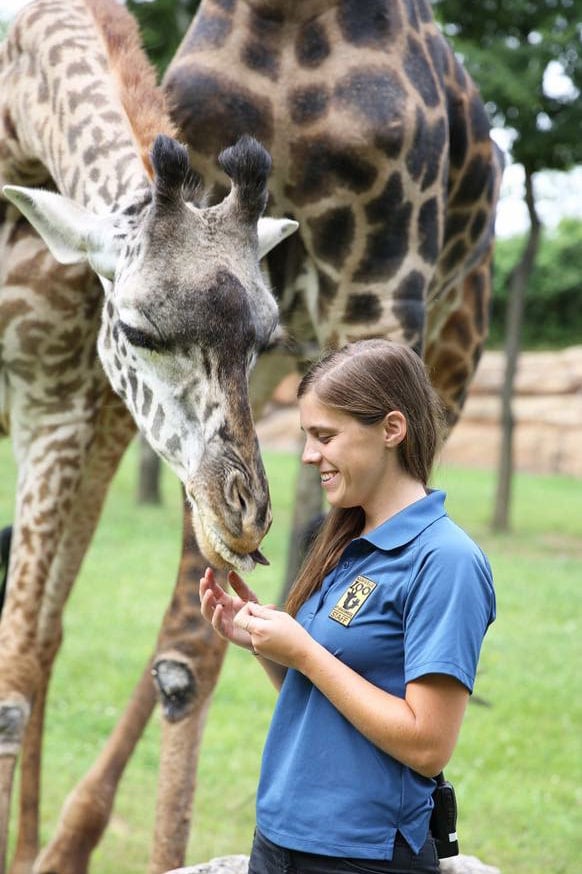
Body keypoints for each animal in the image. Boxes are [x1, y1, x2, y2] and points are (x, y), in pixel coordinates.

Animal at [0, 1, 296, 872]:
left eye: (267, 338)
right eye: (135, 328)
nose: (243, 514)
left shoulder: (57, 411)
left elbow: (16, 664)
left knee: (48, 637)